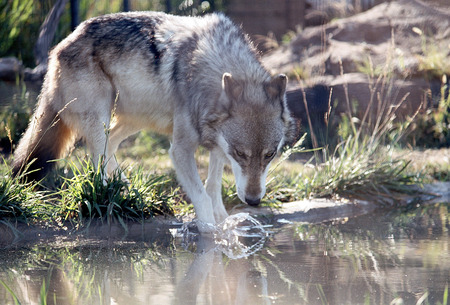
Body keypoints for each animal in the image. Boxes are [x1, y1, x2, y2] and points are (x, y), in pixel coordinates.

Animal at [11, 11, 296, 230]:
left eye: (270, 155)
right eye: (241, 154)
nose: (254, 201)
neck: (209, 67)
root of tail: (59, 47)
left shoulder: (216, 143)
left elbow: (213, 186)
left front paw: (224, 221)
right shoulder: (181, 149)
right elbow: (202, 196)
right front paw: (212, 235)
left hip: (136, 119)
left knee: (110, 146)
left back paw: (126, 187)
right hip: (101, 116)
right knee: (96, 156)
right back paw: (109, 194)